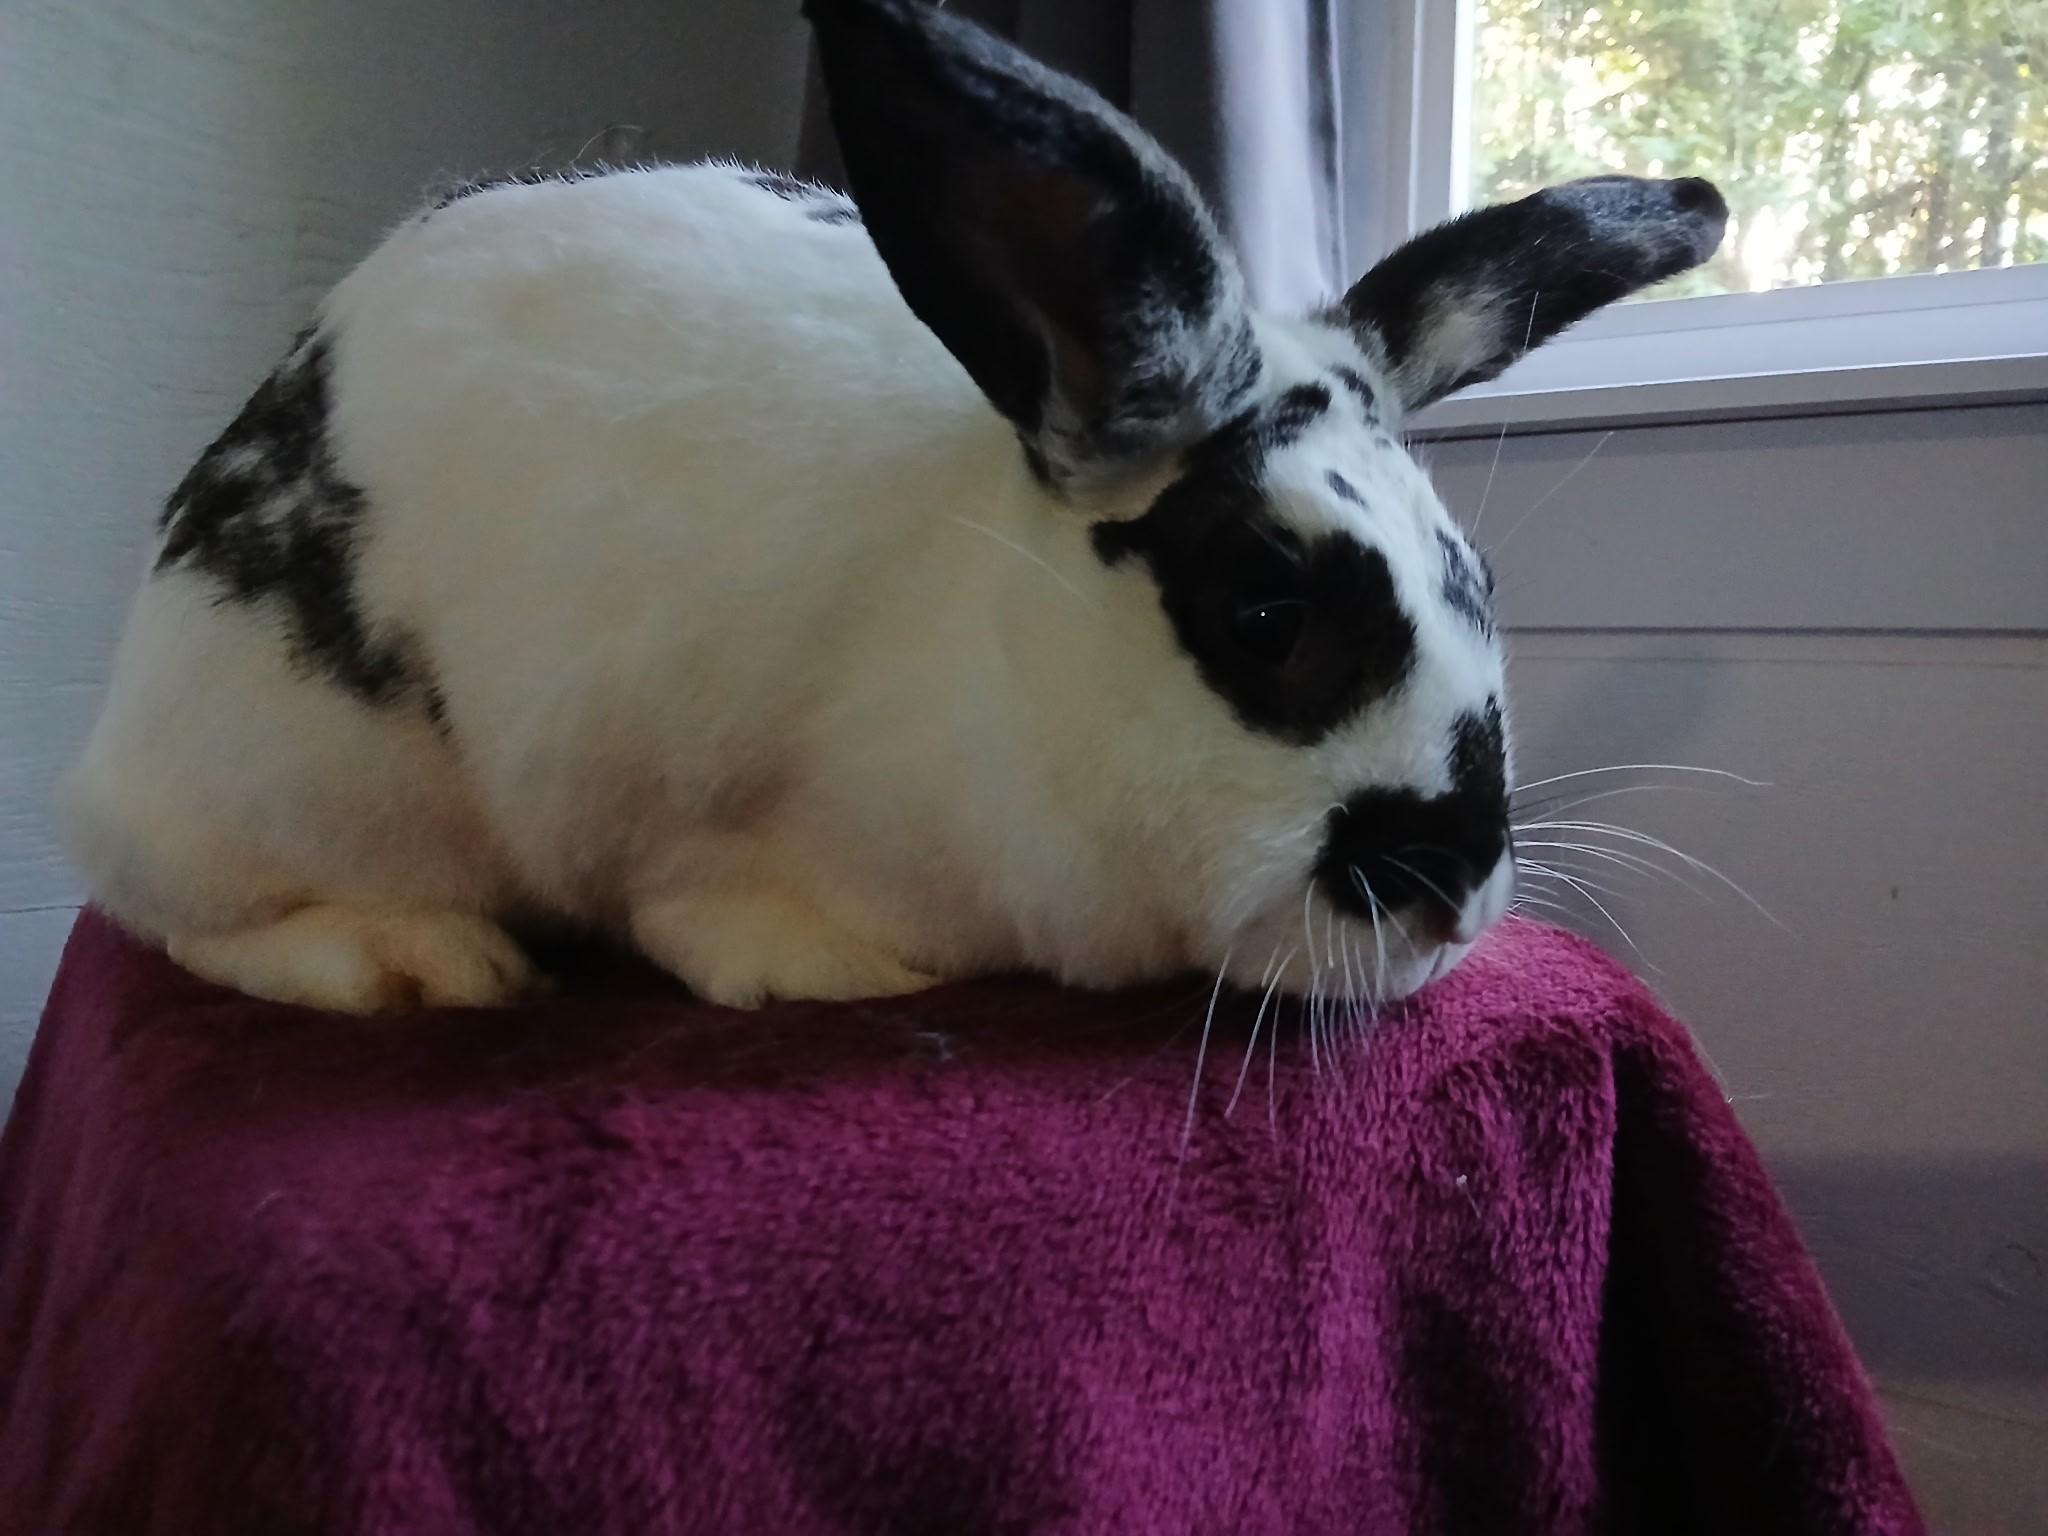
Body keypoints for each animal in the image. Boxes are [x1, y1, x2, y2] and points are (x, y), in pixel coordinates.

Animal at [63, 0, 1726, 1014]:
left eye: (1481, 582)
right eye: (1267, 617)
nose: (1457, 889)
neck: (982, 647)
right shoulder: (655, 778)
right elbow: (705, 903)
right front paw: (831, 971)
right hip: (291, 775)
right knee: (186, 913)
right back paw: (420, 962)